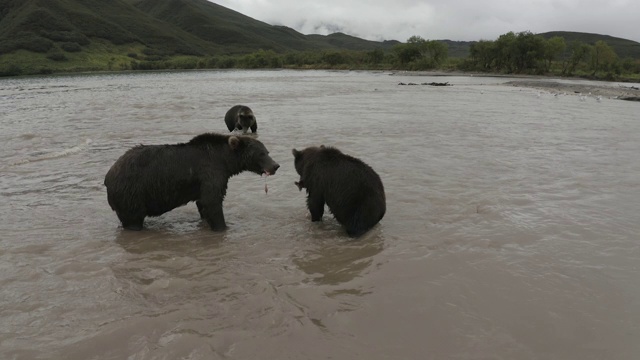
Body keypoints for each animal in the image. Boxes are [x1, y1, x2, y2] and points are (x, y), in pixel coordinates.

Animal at [104, 132, 278, 231]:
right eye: (261, 153)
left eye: (267, 151)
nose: (275, 165)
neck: (225, 161)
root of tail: (108, 175)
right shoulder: (210, 173)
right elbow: (212, 202)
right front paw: (223, 227)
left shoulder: (203, 183)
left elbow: (203, 205)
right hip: (132, 192)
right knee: (133, 219)